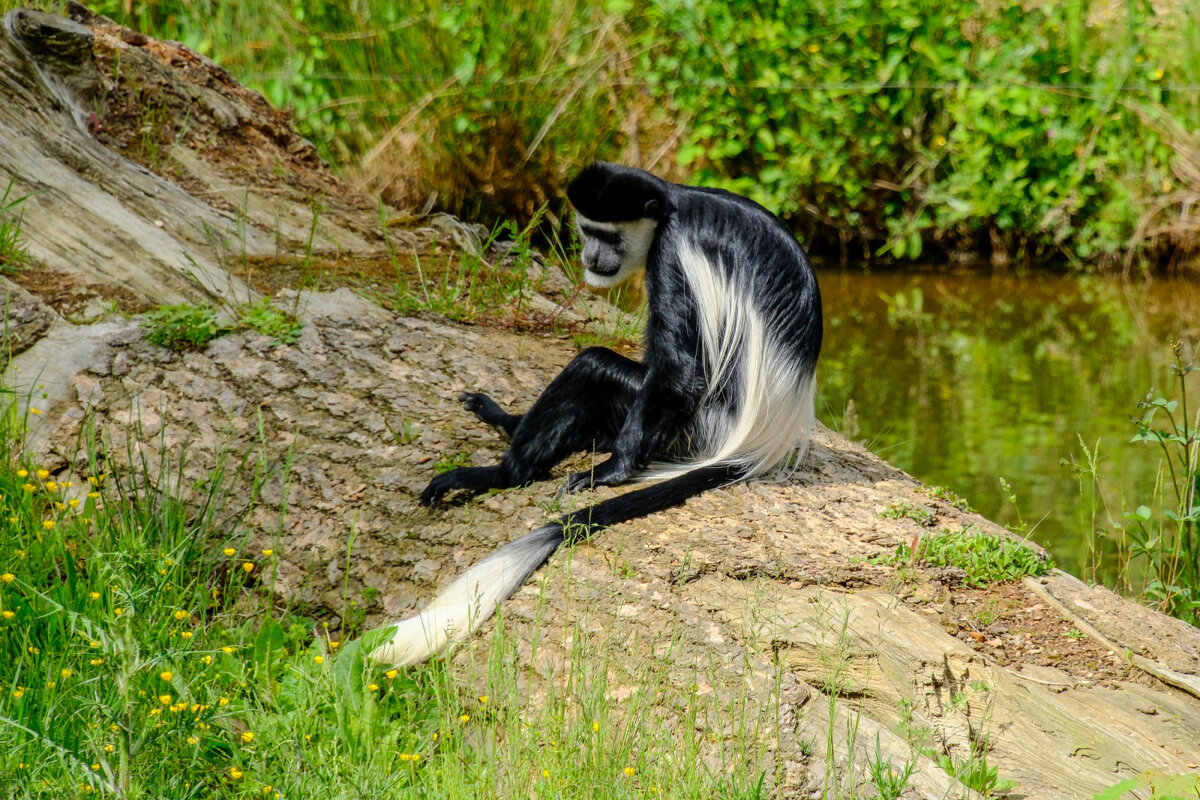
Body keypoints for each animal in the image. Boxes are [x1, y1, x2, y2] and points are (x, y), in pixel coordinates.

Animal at [372, 160, 825, 662]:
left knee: (595, 366)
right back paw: (507, 421)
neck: (670, 205)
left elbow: (680, 371)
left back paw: (500, 474)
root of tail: (759, 443)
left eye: (609, 235)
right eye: (587, 230)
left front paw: (610, 473)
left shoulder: (673, 255)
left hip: (696, 430)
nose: (590, 257)